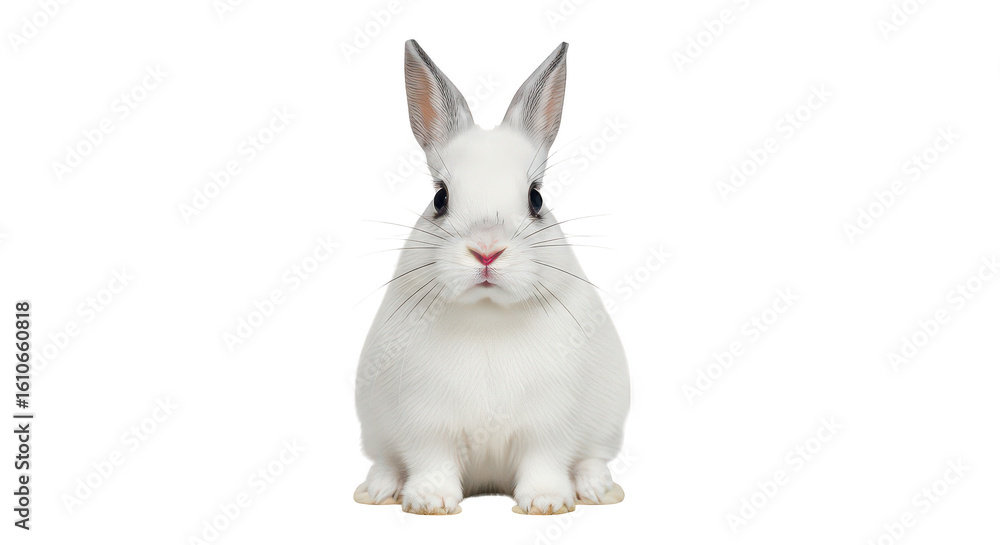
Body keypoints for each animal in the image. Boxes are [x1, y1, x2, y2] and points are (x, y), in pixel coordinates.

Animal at [354, 39, 630, 516]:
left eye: (536, 199)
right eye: (439, 198)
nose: (486, 250)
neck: (487, 317)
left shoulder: (549, 427)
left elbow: (545, 462)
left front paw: (546, 503)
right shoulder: (425, 425)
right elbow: (431, 462)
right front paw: (430, 503)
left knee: (592, 457)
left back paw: (596, 489)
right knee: (386, 460)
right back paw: (379, 490)